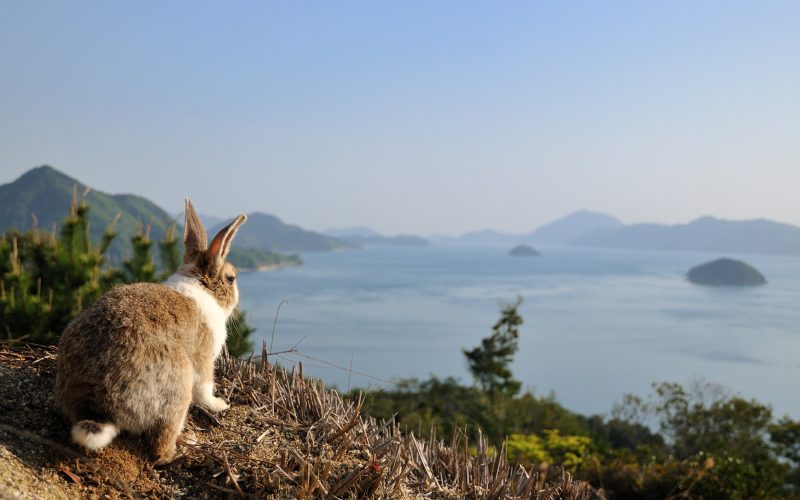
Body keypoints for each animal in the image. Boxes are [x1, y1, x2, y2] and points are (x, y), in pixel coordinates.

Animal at [54, 199, 247, 464]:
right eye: (230, 279)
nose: (238, 297)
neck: (200, 284)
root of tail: (99, 403)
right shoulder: (204, 360)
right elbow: (205, 389)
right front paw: (220, 404)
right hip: (179, 384)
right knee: (160, 446)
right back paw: (181, 449)